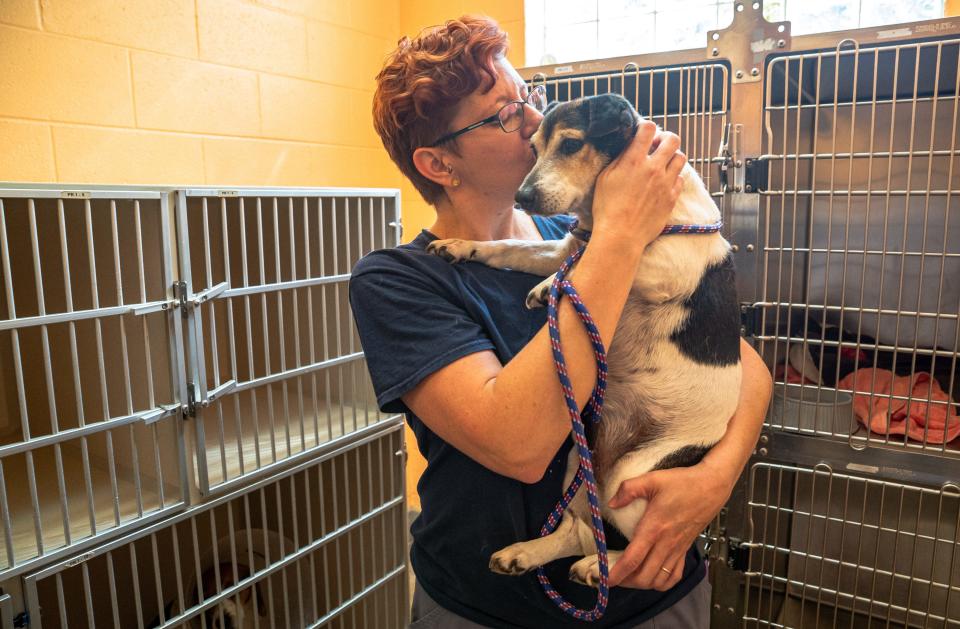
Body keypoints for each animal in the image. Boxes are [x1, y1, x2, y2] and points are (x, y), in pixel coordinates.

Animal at [428, 92, 744, 584]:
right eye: (534, 149)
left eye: (571, 144)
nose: (522, 197)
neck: (596, 216)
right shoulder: (562, 246)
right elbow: (513, 248)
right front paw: (462, 246)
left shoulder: (665, 261)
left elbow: (598, 255)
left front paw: (548, 286)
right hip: (579, 463)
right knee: (579, 532)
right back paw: (527, 554)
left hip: (632, 478)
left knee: (644, 554)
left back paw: (602, 569)